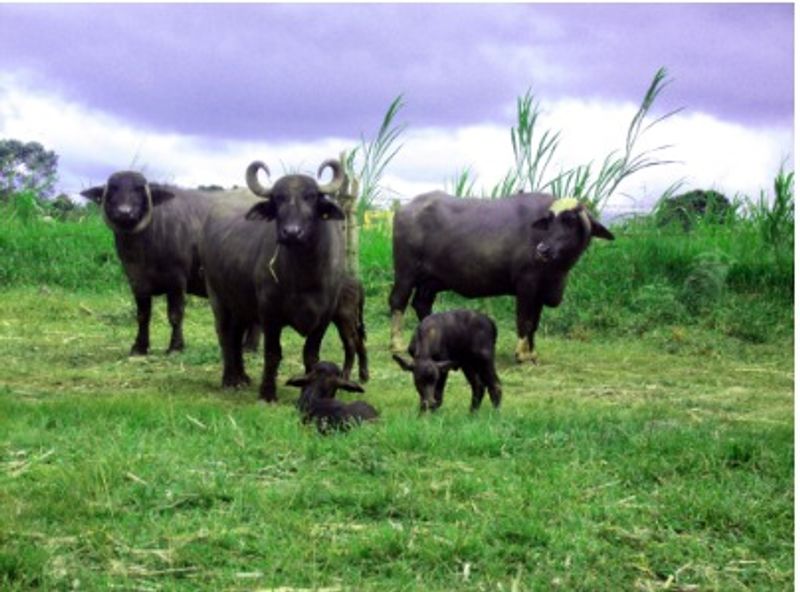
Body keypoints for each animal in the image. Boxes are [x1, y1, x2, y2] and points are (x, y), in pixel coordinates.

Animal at [80, 171, 259, 355]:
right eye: (113, 190)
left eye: (139, 190)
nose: (124, 212)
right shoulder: (136, 281)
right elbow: (142, 316)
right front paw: (139, 347)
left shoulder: (177, 280)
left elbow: (175, 314)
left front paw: (175, 346)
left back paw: (249, 347)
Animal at [200, 159, 347, 402]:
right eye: (278, 198)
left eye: (311, 197)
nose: (292, 232)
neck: (305, 275)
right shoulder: (270, 313)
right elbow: (272, 353)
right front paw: (267, 393)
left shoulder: (324, 316)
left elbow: (311, 355)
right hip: (217, 297)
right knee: (225, 336)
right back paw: (230, 379)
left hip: (242, 305)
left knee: (236, 336)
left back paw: (242, 377)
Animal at [389, 193, 614, 363]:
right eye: (549, 221)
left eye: (570, 221)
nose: (543, 250)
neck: (557, 270)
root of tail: (405, 209)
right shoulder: (526, 285)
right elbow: (525, 320)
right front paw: (521, 354)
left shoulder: (541, 292)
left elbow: (535, 323)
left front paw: (532, 352)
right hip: (405, 273)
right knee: (398, 301)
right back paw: (396, 344)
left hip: (431, 281)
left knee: (421, 303)